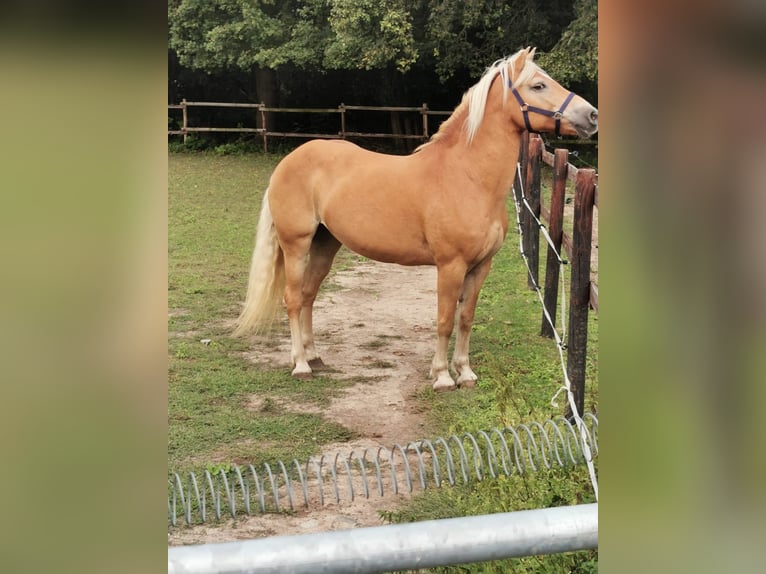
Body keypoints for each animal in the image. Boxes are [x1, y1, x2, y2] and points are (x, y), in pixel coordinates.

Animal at [234, 48, 600, 392]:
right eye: (538, 85)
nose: (591, 115)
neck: (467, 176)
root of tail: (288, 162)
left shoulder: (481, 266)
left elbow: (466, 318)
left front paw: (465, 373)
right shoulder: (450, 265)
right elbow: (444, 320)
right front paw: (442, 377)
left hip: (326, 243)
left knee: (309, 295)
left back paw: (313, 356)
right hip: (296, 245)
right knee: (294, 299)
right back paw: (300, 364)